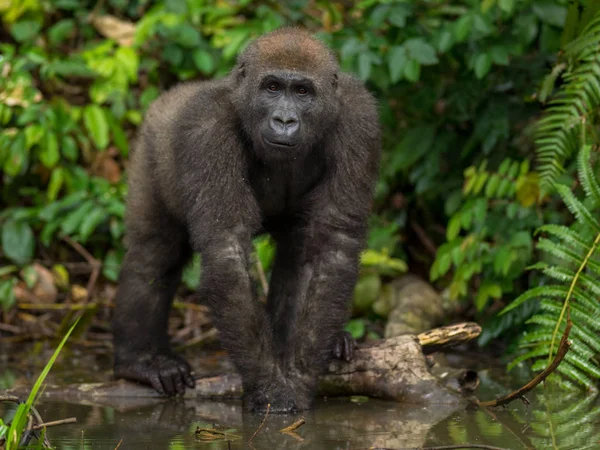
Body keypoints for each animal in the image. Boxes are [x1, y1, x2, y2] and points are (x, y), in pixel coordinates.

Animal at [113, 27, 380, 414]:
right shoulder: (207, 127)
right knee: (154, 253)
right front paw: (270, 388)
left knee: (296, 251)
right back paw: (140, 360)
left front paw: (297, 375)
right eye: (272, 87)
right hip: (150, 143)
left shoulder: (359, 119)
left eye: (302, 92)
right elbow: (227, 249)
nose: (284, 121)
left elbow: (333, 243)